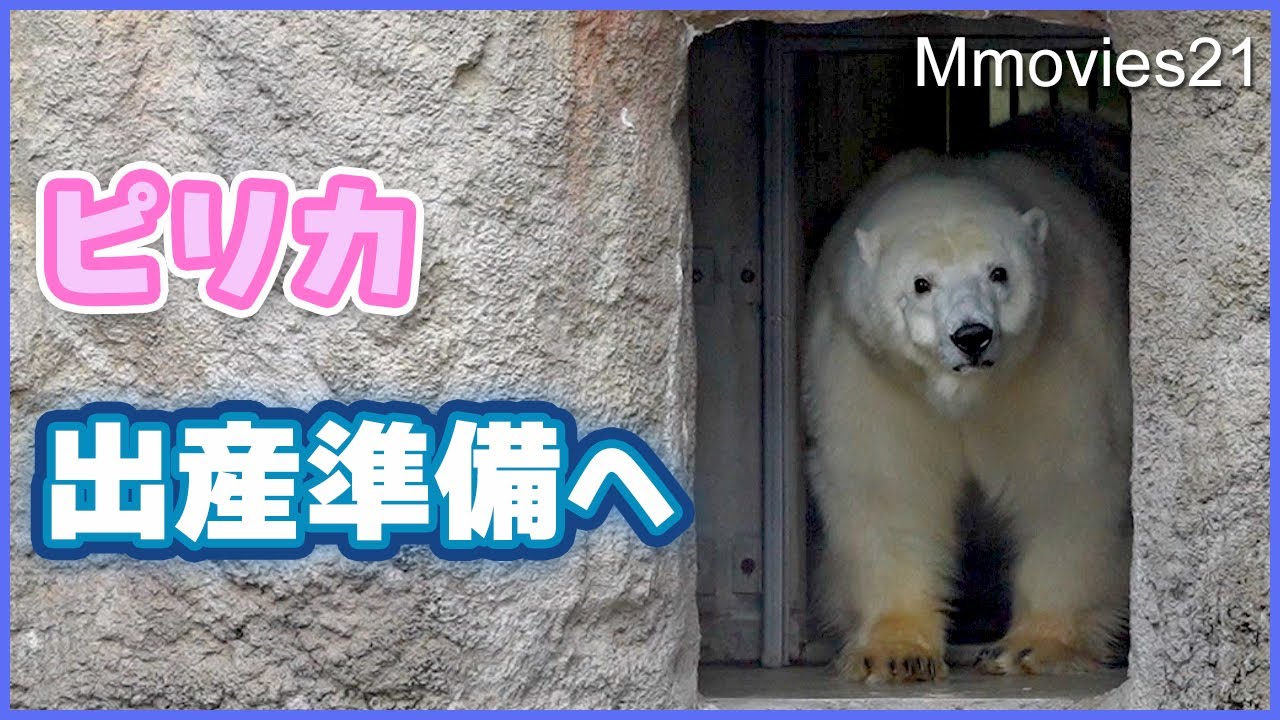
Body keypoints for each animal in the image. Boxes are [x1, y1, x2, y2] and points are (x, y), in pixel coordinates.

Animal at [802, 148, 1131, 683]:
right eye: (921, 283)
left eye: (999, 272)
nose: (972, 336)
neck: (963, 393)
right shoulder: (872, 372)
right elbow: (887, 485)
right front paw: (895, 653)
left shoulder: (1055, 357)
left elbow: (1064, 480)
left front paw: (1037, 646)